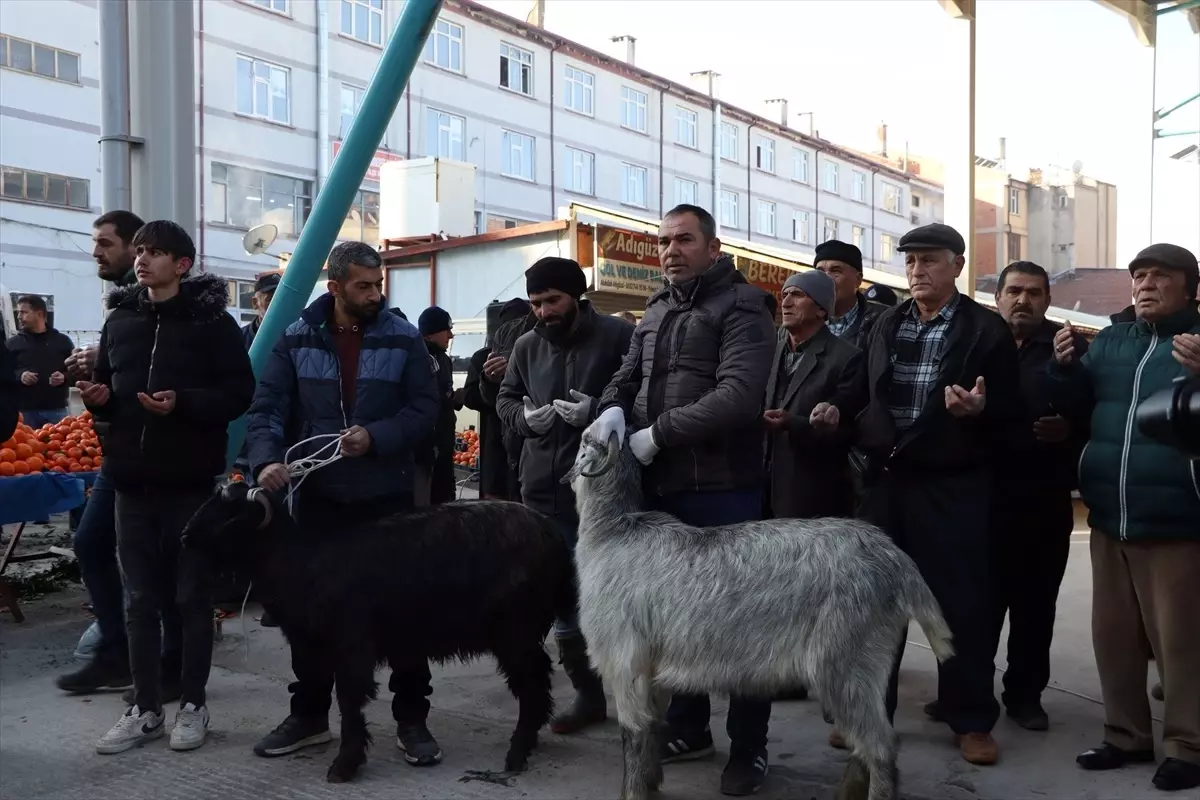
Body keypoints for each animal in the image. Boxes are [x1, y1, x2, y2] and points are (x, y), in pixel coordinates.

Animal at [182, 482, 576, 782]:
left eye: (230, 511)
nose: (185, 536)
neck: (304, 563)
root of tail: (552, 534)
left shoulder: (352, 645)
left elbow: (348, 701)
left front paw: (344, 765)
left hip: (515, 629)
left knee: (532, 685)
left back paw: (516, 754)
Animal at [564, 431, 955, 800]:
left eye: (584, 440)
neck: (612, 533)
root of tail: (895, 558)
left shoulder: (624, 662)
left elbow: (632, 734)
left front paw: (632, 792)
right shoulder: (650, 669)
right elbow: (650, 727)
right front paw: (651, 781)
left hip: (846, 663)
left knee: (882, 745)